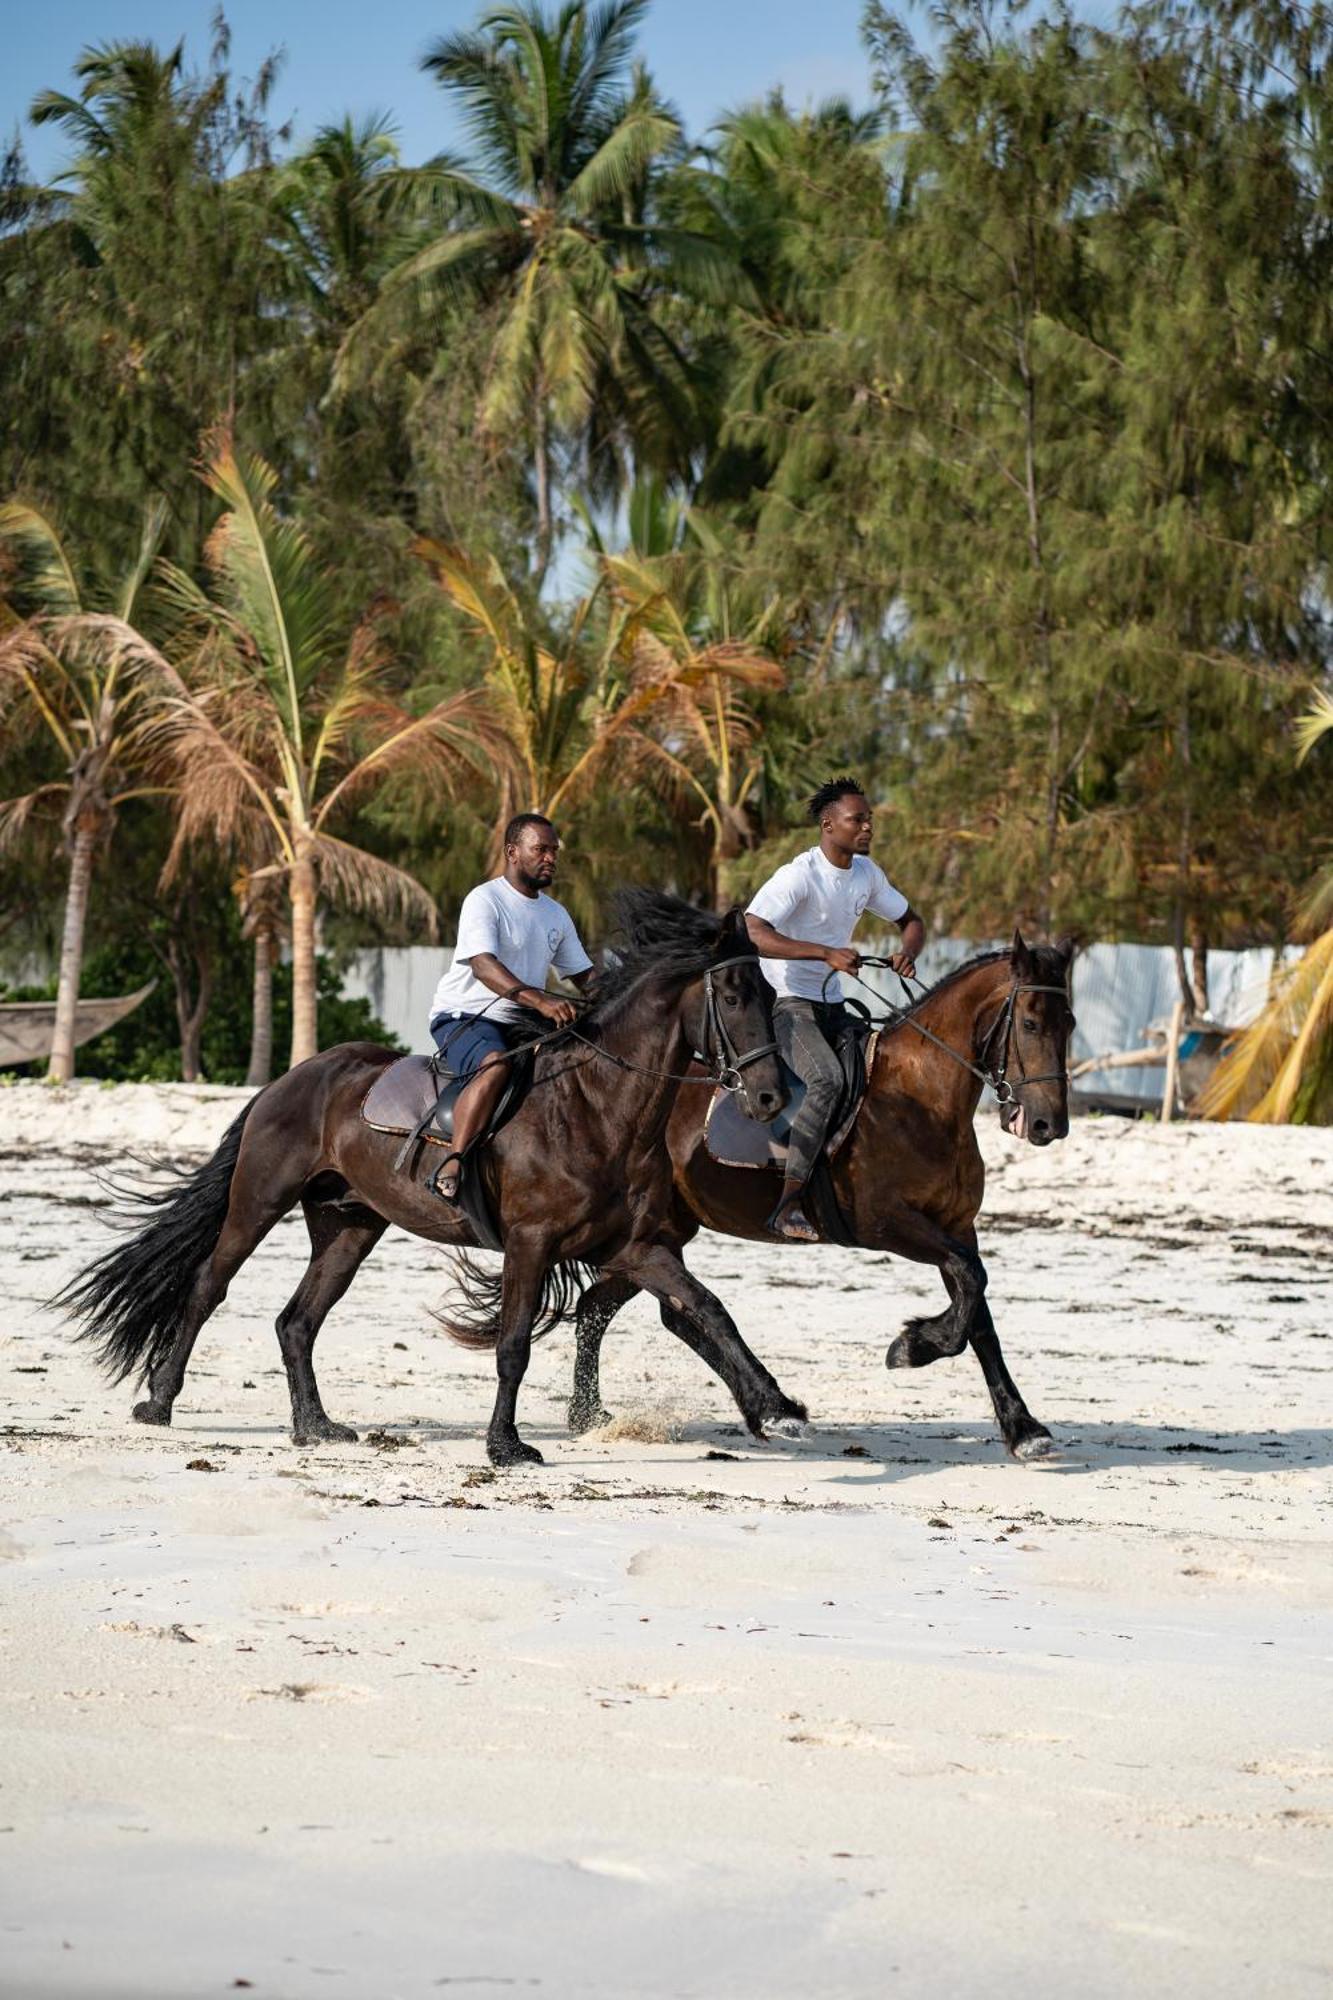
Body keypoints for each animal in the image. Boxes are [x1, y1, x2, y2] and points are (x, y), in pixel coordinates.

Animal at [59, 900, 808, 1464]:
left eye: (771, 993)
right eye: (732, 996)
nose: (772, 1096)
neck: (597, 1107)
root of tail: (293, 1078)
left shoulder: (635, 1246)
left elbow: (707, 1309)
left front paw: (775, 1406)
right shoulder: (531, 1244)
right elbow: (512, 1346)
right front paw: (506, 1447)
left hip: (348, 1225)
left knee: (297, 1319)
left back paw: (316, 1428)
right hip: (258, 1202)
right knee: (208, 1287)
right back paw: (159, 1401)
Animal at [564, 928, 1072, 1464]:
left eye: (1070, 1023)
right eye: (1031, 1023)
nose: (1049, 1125)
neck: (922, 1099)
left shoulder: (956, 1227)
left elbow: (978, 1313)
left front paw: (1023, 1428)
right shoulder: (887, 1225)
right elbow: (971, 1280)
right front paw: (913, 1346)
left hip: (662, 1233)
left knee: (618, 1308)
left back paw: (601, 1413)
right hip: (651, 1234)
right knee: (650, 1309)